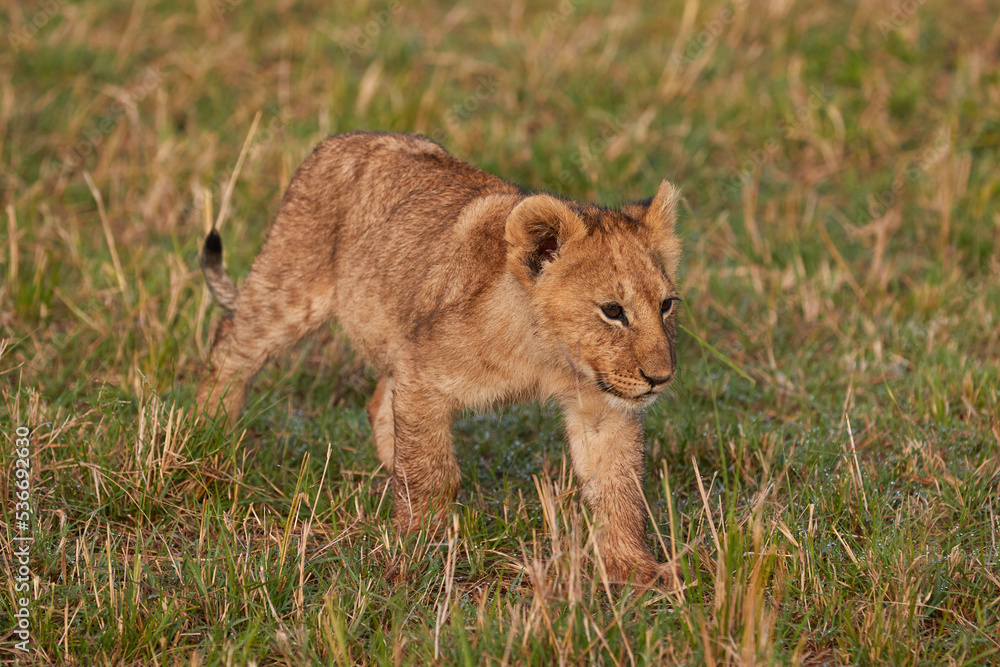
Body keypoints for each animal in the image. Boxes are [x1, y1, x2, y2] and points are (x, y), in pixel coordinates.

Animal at [197, 131, 683, 586]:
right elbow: (431, 471)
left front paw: (636, 570)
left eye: (666, 305)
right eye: (613, 311)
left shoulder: (603, 403)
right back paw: (212, 435)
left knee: (378, 402)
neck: (547, 357)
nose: (661, 378)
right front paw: (414, 552)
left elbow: (619, 486)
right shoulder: (423, 374)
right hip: (290, 286)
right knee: (231, 344)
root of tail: (344, 138)